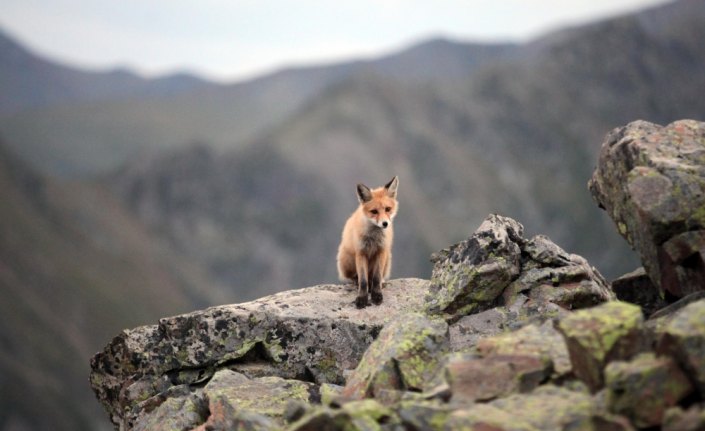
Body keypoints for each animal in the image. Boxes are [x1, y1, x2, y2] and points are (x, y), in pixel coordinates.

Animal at [334, 177, 396, 308]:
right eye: (374, 211)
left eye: (388, 209)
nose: (385, 224)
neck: (373, 237)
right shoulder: (361, 252)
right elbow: (363, 281)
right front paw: (362, 298)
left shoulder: (381, 251)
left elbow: (377, 278)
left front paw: (377, 295)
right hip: (346, 258)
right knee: (353, 277)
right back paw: (356, 281)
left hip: (388, 258)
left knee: (374, 276)